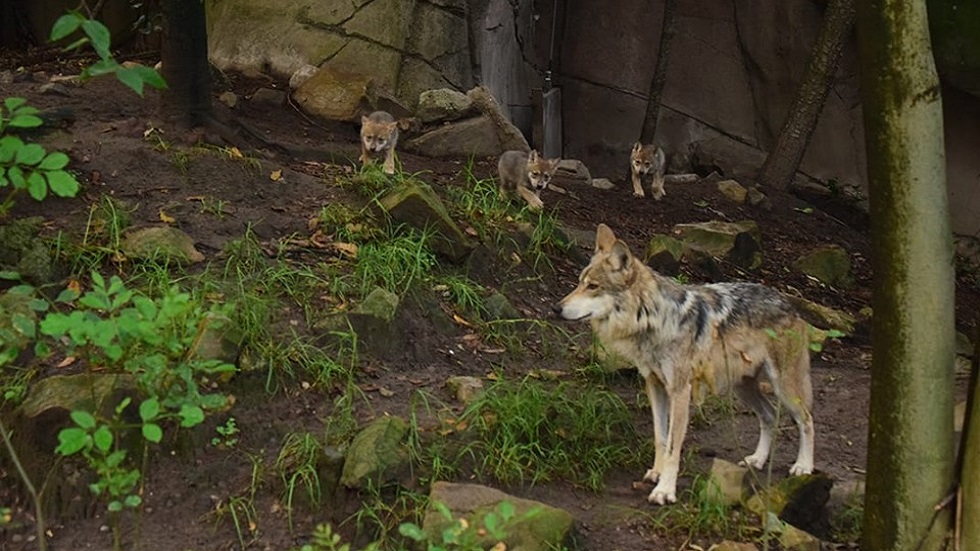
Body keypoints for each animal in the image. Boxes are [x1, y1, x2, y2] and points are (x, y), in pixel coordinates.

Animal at [555, 224, 815, 505]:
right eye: (579, 283)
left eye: (593, 286)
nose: (556, 308)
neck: (652, 319)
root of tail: (789, 303)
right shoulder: (655, 385)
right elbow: (660, 437)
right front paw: (656, 473)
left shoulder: (680, 391)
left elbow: (673, 446)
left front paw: (665, 491)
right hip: (743, 388)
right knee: (768, 416)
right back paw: (756, 460)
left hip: (783, 387)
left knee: (806, 419)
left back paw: (804, 467)